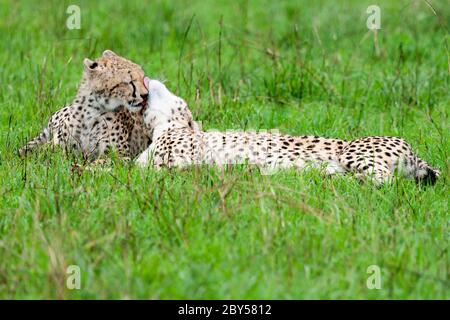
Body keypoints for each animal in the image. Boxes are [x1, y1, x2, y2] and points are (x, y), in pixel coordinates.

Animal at [18, 50, 151, 160]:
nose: (146, 95)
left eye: (142, 77)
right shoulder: (60, 147)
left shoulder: (120, 156)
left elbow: (98, 163)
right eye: (129, 82)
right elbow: (46, 153)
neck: (91, 112)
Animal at [136, 78, 440, 185]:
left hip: (353, 153)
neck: (166, 127)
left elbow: (141, 170)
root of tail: (413, 151)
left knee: (385, 180)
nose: (145, 81)